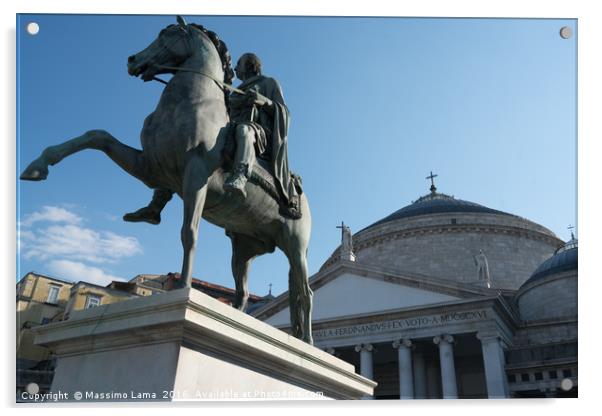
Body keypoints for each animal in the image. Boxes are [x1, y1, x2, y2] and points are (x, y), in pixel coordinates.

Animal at [19, 17, 314, 344]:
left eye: (168, 35)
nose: (132, 60)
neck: (191, 103)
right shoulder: (150, 167)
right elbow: (97, 136)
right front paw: (37, 166)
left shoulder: (195, 178)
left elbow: (189, 233)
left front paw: (184, 286)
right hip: (245, 246)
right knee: (244, 290)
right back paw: (243, 320)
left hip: (294, 245)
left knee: (305, 291)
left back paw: (307, 341)